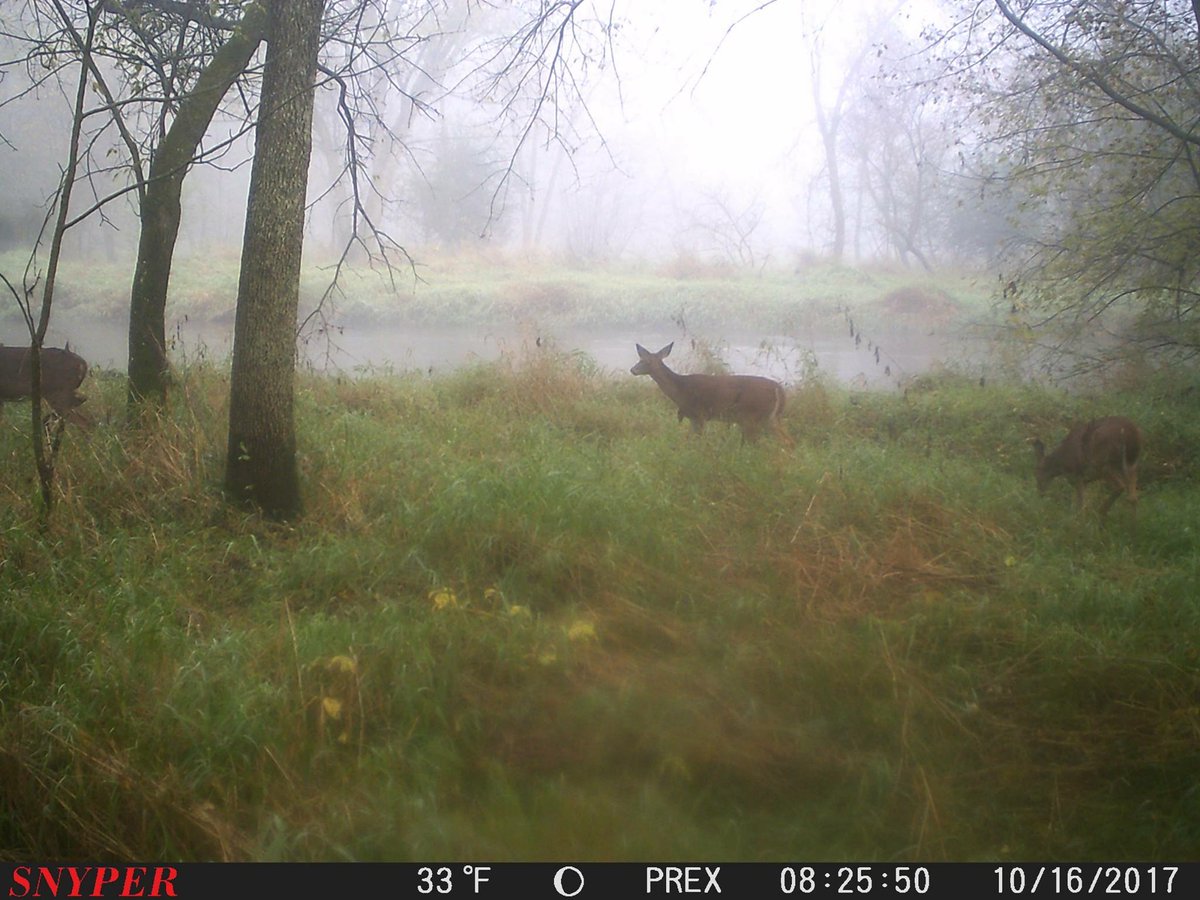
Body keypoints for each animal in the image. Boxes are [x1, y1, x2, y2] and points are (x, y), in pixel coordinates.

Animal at [630, 342, 792, 446]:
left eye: (647, 361)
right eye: (640, 359)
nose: (633, 370)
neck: (680, 389)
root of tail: (779, 390)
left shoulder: (700, 414)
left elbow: (699, 441)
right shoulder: (693, 417)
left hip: (753, 416)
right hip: (770, 417)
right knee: (788, 441)